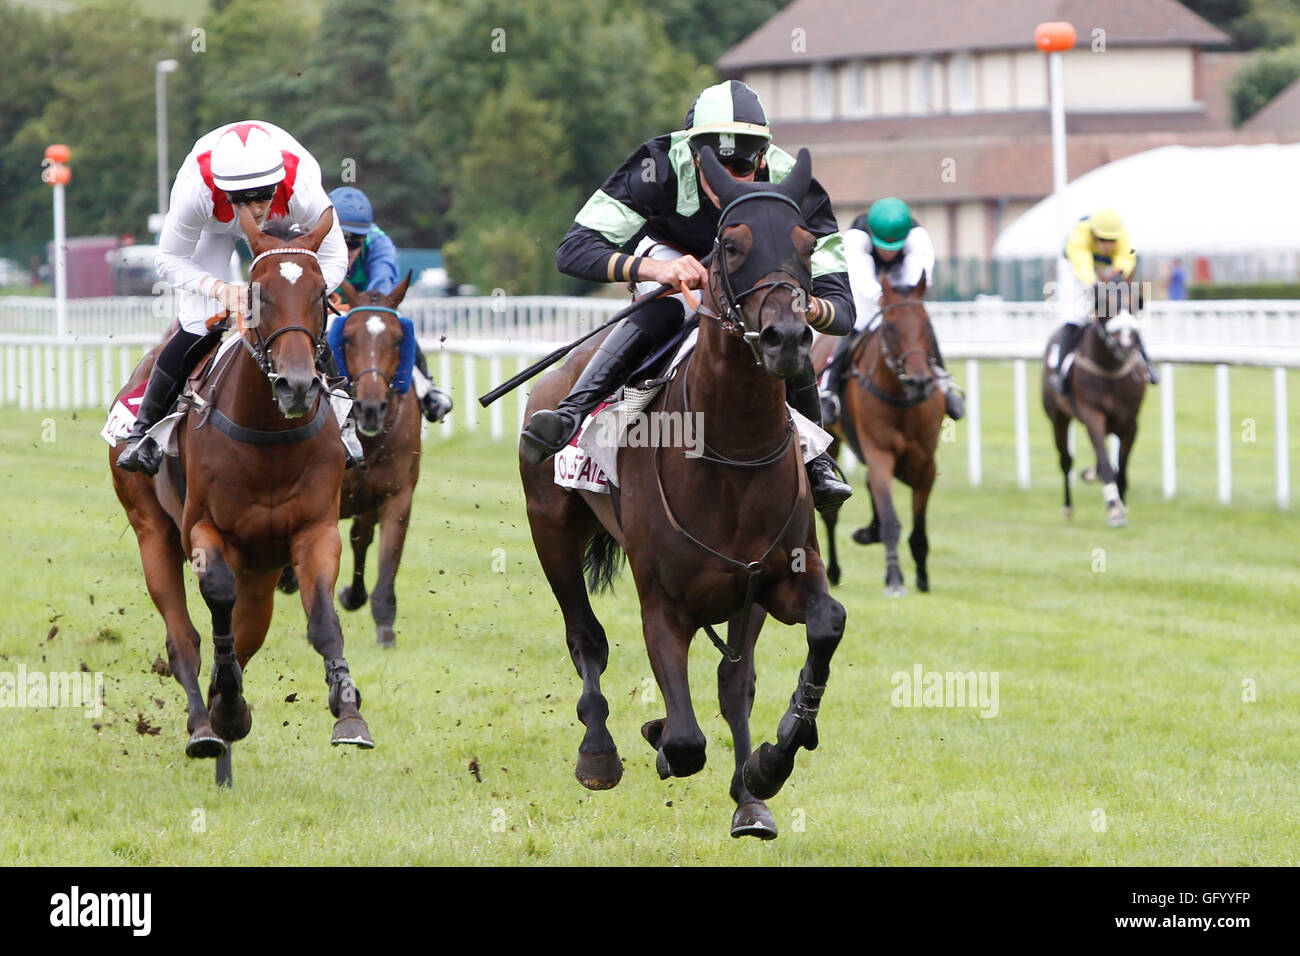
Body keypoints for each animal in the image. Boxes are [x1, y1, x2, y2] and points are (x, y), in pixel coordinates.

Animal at [108, 208, 374, 785]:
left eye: (321, 294)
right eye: (257, 293)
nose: (297, 386)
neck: (268, 435)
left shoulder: (314, 531)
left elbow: (323, 621)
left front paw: (348, 710)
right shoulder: (205, 530)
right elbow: (217, 601)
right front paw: (224, 705)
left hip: (263, 567)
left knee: (247, 633)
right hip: (152, 531)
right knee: (184, 636)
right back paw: (206, 725)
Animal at [522, 145, 847, 842]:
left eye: (808, 244)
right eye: (730, 244)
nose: (787, 337)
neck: (733, 457)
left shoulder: (768, 580)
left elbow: (812, 634)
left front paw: (767, 768)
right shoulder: (663, 602)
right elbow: (685, 739)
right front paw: (662, 739)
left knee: (729, 676)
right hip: (551, 529)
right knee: (585, 637)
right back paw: (599, 753)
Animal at [816, 273, 941, 595]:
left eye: (927, 324)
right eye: (892, 327)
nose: (920, 381)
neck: (902, 399)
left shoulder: (926, 462)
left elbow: (918, 529)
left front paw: (922, 578)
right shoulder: (880, 454)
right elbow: (891, 520)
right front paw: (895, 578)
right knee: (831, 516)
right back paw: (833, 571)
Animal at [1045, 280, 1149, 528]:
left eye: (1135, 306)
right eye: (1106, 307)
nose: (1126, 344)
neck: (1110, 370)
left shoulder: (1130, 423)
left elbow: (1121, 467)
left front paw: (1122, 502)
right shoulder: (1092, 415)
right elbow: (1105, 460)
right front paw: (1114, 508)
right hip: (1058, 418)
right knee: (1066, 460)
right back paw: (1068, 507)